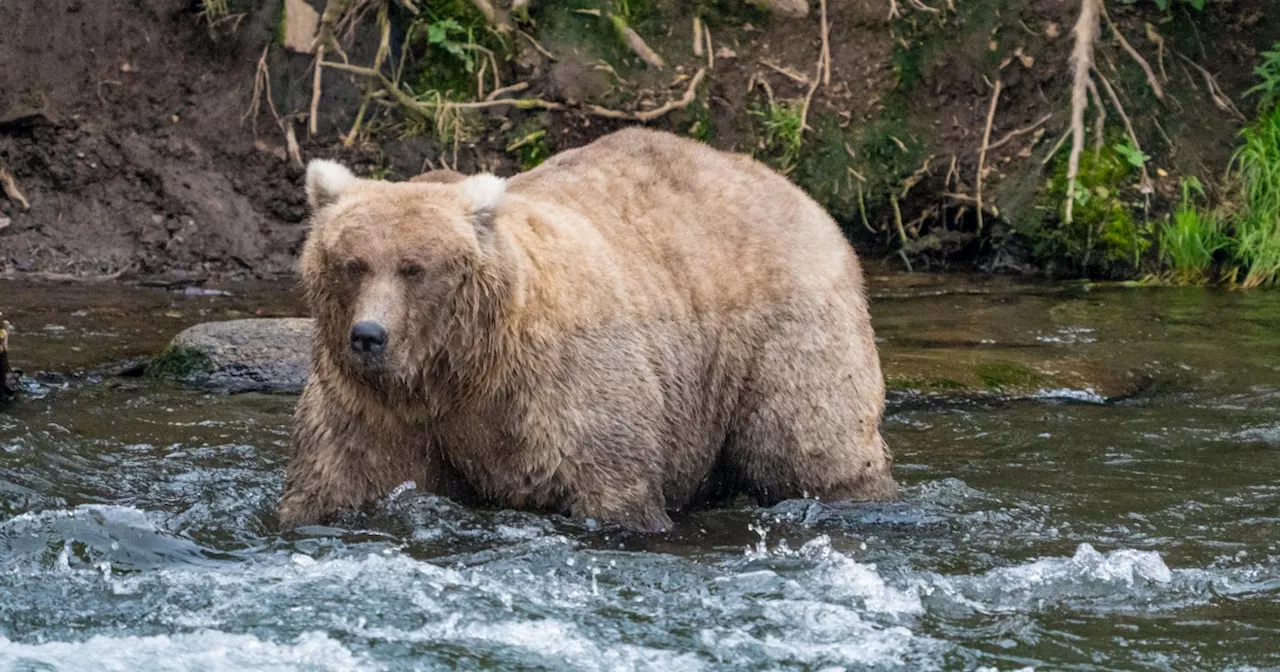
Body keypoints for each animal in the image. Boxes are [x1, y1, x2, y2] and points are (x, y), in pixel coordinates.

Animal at [280, 128, 901, 532]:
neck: (458, 371)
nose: (368, 335)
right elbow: (337, 479)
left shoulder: (561, 387)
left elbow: (610, 481)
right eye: (352, 263)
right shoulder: (373, 407)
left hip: (783, 335)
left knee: (810, 445)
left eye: (414, 268)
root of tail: (797, 192)